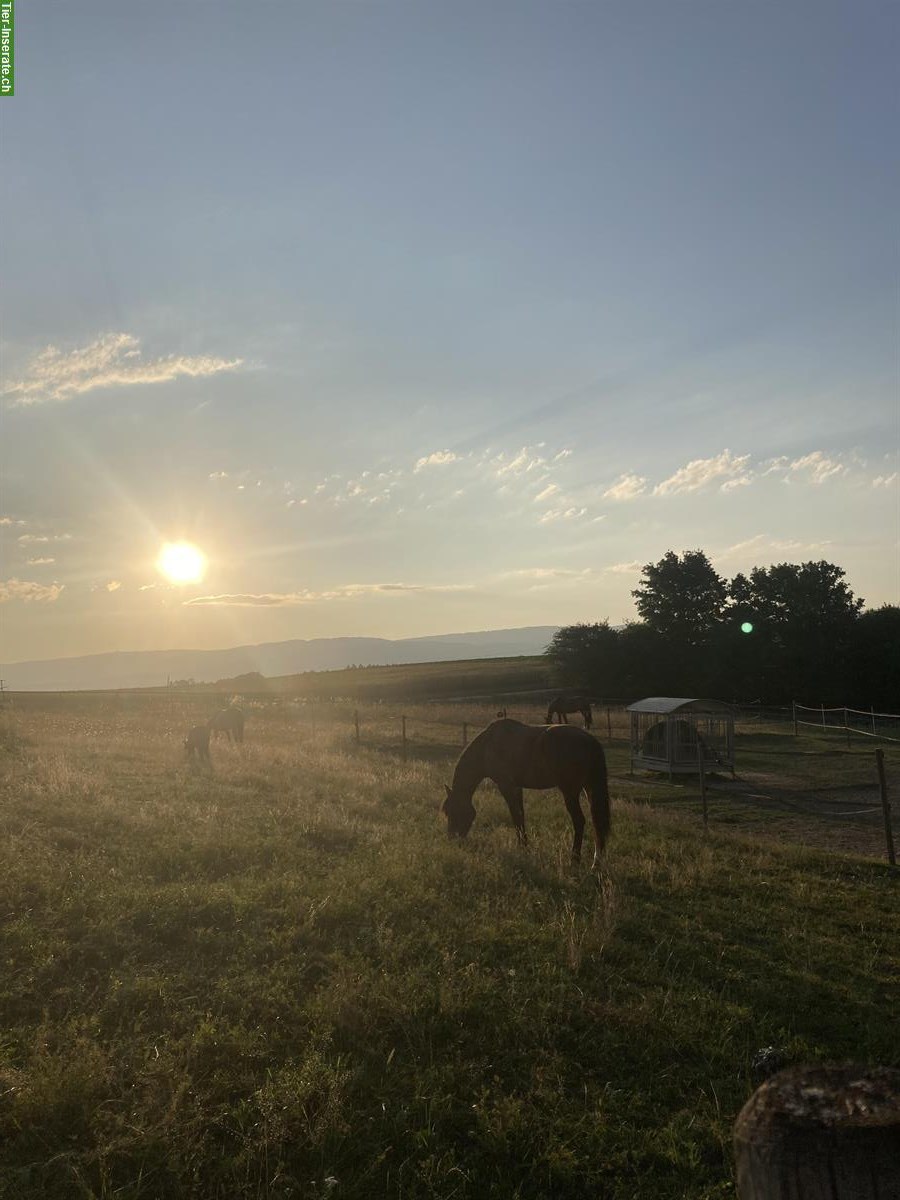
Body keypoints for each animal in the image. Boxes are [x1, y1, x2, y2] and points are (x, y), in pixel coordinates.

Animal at [444, 715, 614, 868]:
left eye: (451, 811)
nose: (452, 839)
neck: (487, 746)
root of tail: (591, 741)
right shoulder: (517, 788)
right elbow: (521, 816)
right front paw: (524, 846)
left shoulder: (506, 785)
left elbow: (515, 816)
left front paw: (521, 848)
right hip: (589, 788)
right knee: (597, 823)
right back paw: (596, 863)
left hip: (570, 792)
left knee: (579, 821)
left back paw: (574, 860)